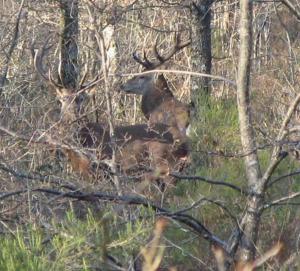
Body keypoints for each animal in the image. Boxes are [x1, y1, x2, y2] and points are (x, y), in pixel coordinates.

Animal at [32, 42, 188, 188]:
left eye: (80, 99)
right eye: (62, 99)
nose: (72, 116)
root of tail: (186, 143)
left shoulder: (97, 170)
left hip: (164, 164)